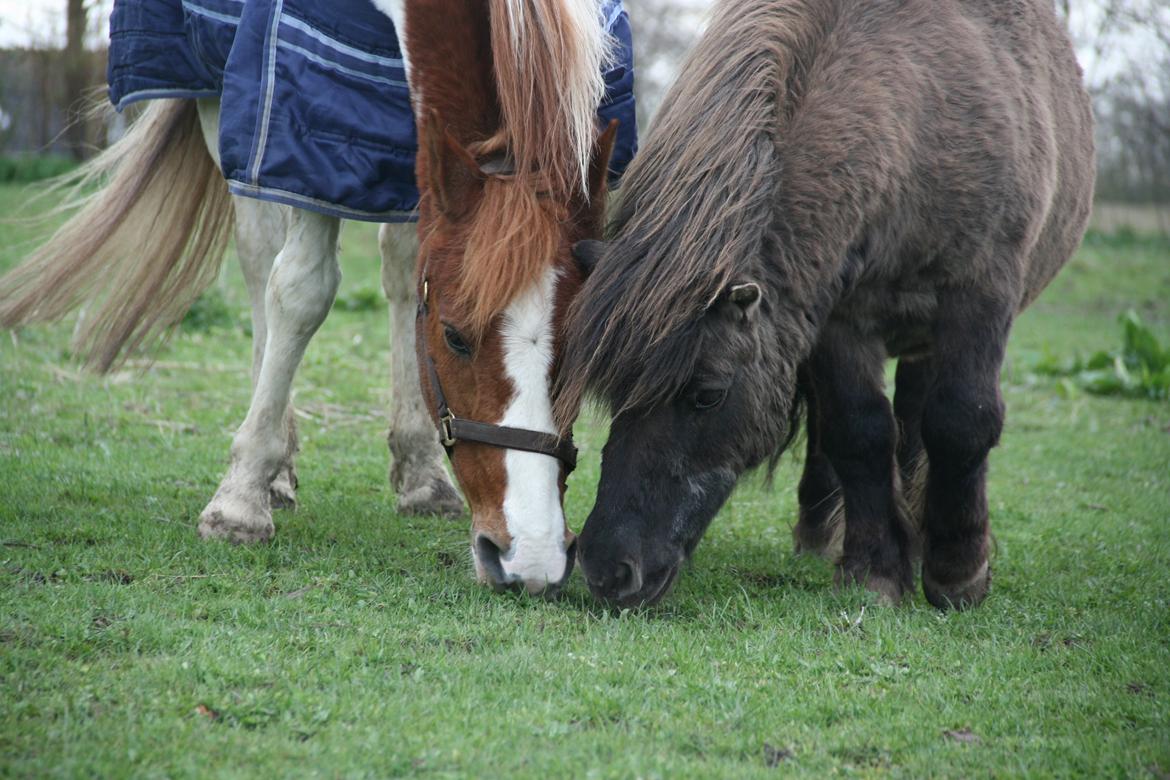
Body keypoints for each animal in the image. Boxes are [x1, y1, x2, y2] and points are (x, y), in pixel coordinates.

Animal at [0, 0, 631, 598]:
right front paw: (240, 502)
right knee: (261, 257)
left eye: (583, 343)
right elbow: (302, 290)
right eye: (455, 336)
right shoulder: (301, 131)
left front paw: (419, 474)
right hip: (218, 96)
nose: (531, 559)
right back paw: (273, 468)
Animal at [561, 0, 1090, 608]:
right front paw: (874, 572)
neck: (917, 130)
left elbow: (963, 419)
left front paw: (958, 572)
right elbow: (856, 430)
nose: (607, 568)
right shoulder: (838, 319)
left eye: (707, 395)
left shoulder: (980, 294)